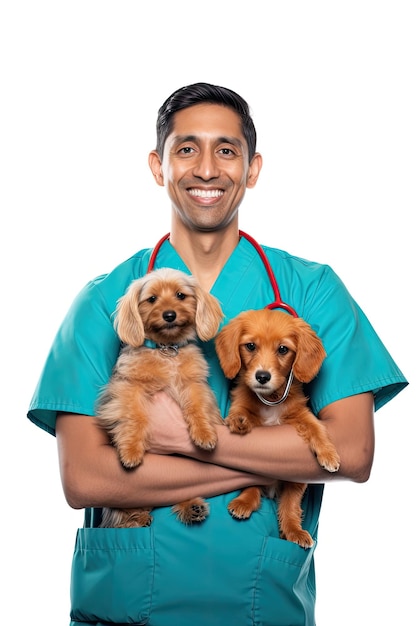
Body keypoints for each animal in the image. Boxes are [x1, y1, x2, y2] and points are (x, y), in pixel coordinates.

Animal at [96, 266, 224, 528]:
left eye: (180, 295)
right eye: (152, 299)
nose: (169, 315)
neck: (166, 350)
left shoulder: (193, 385)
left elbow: (197, 408)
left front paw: (205, 433)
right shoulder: (128, 389)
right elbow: (135, 417)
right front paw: (131, 451)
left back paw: (191, 507)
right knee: (122, 514)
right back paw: (136, 518)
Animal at [213, 308, 340, 544]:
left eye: (283, 349)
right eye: (250, 346)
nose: (262, 377)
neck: (270, 399)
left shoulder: (301, 414)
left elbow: (317, 428)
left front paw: (329, 454)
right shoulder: (242, 404)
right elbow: (240, 412)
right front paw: (238, 421)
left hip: (296, 481)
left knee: (290, 506)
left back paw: (294, 530)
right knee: (252, 487)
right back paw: (243, 503)